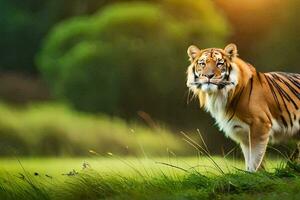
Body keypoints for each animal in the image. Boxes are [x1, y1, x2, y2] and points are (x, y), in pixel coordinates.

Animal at [186, 43, 300, 172]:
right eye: (202, 63)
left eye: (219, 63)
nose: (208, 76)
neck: (219, 95)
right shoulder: (243, 133)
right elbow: (250, 160)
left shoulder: (260, 125)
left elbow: (255, 159)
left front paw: (254, 174)